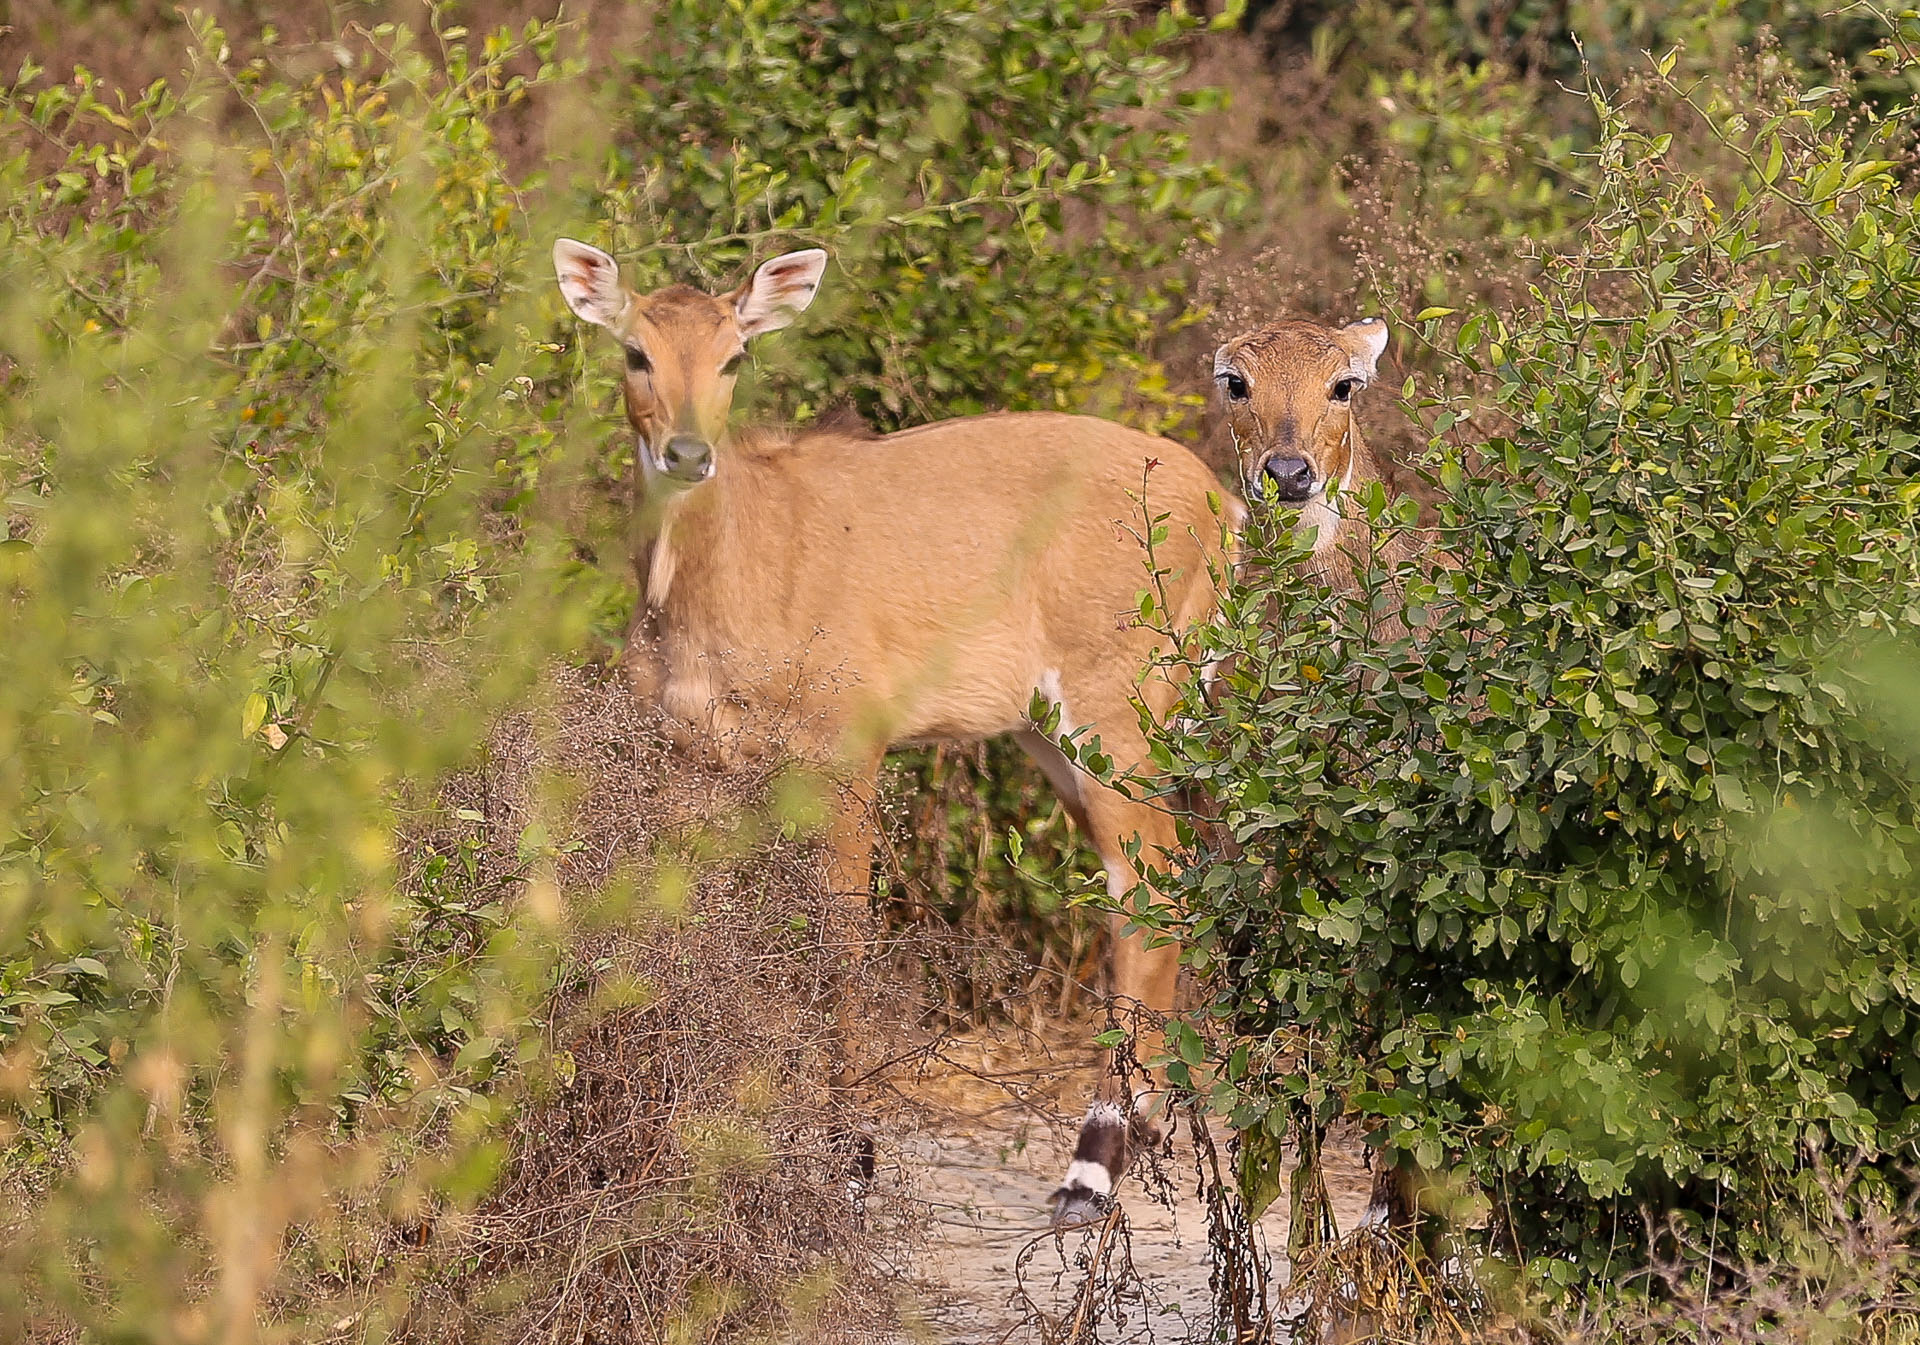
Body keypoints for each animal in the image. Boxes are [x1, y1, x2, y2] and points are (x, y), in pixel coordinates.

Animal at [556, 235, 1244, 1220]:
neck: (724, 574)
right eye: (635, 351)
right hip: (1053, 730)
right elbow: (679, 930)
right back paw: (1138, 1129)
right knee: (1160, 884)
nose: (688, 453)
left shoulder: (847, 747)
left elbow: (840, 945)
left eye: (736, 355)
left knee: (1148, 890)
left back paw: (1092, 1166)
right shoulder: (690, 754)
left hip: (1117, 710)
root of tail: (1224, 509)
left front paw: (851, 1159)